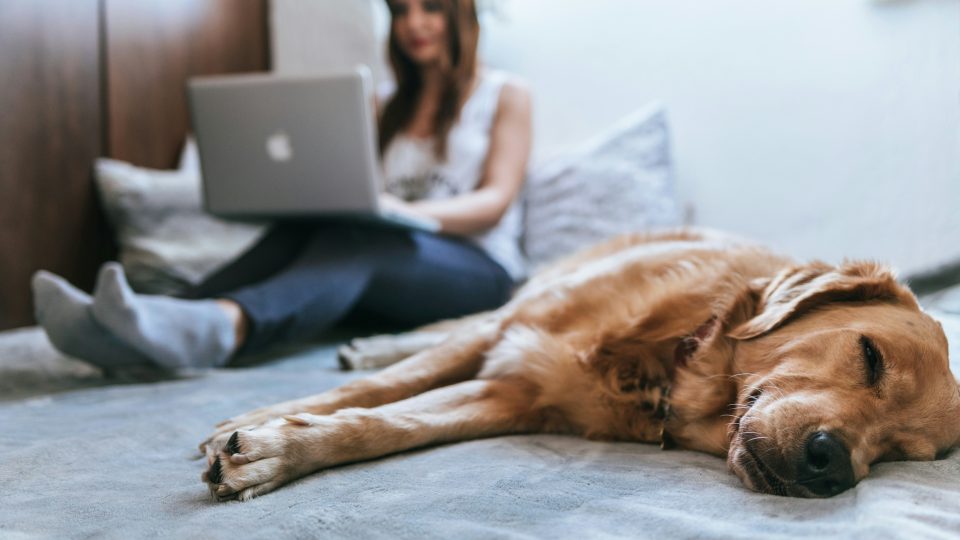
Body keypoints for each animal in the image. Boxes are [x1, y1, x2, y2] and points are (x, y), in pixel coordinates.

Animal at [197, 229, 960, 502]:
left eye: (901, 453)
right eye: (869, 356)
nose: (831, 465)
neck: (670, 355)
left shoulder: (510, 395)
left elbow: (386, 424)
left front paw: (275, 451)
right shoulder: (510, 334)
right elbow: (384, 387)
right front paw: (261, 423)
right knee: (443, 331)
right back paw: (372, 342)